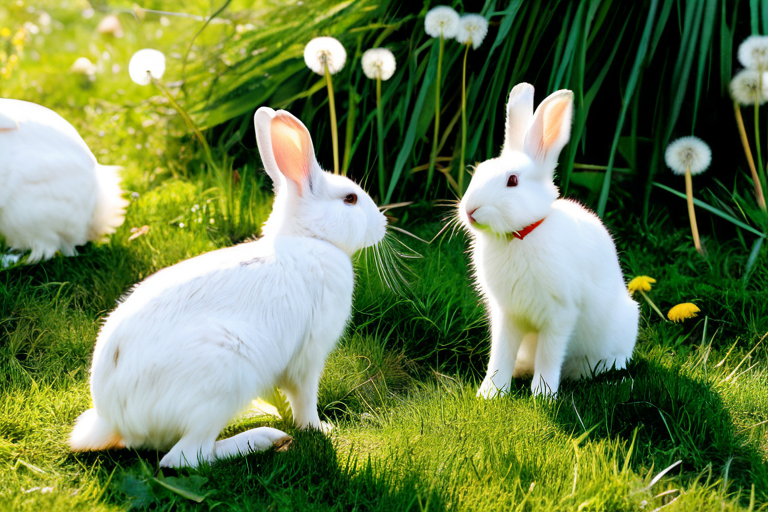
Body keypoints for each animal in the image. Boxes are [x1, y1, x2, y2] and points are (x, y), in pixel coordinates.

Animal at [69, 107, 387, 468]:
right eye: (350, 199)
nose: (382, 224)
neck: (310, 238)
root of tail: (114, 420)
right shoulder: (308, 357)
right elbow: (304, 399)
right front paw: (320, 429)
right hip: (224, 378)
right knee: (186, 456)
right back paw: (264, 438)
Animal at [459, 83, 639, 398]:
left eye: (513, 181)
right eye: (478, 172)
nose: (471, 210)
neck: (519, 236)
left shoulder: (560, 315)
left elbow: (549, 354)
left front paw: (542, 395)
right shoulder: (507, 314)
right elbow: (500, 355)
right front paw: (491, 393)